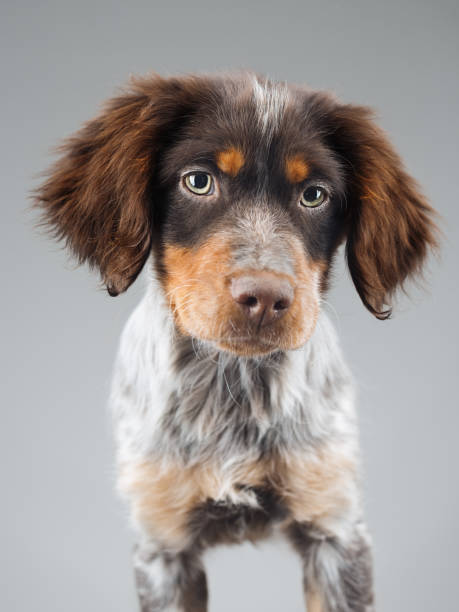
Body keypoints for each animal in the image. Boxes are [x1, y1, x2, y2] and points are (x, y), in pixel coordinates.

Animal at [36, 69, 438, 608]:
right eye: (199, 181)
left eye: (315, 194)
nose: (265, 297)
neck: (234, 383)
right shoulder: (162, 544)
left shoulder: (335, 529)